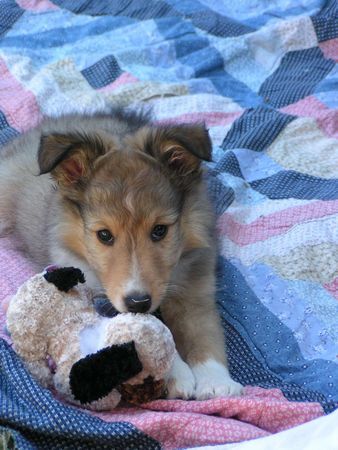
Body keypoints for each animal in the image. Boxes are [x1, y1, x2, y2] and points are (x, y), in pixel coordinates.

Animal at [0, 109, 243, 400]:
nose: (138, 302)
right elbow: (145, 332)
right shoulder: (96, 293)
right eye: (104, 235)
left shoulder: (196, 288)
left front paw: (216, 382)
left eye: (160, 230)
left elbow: (204, 332)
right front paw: (178, 373)